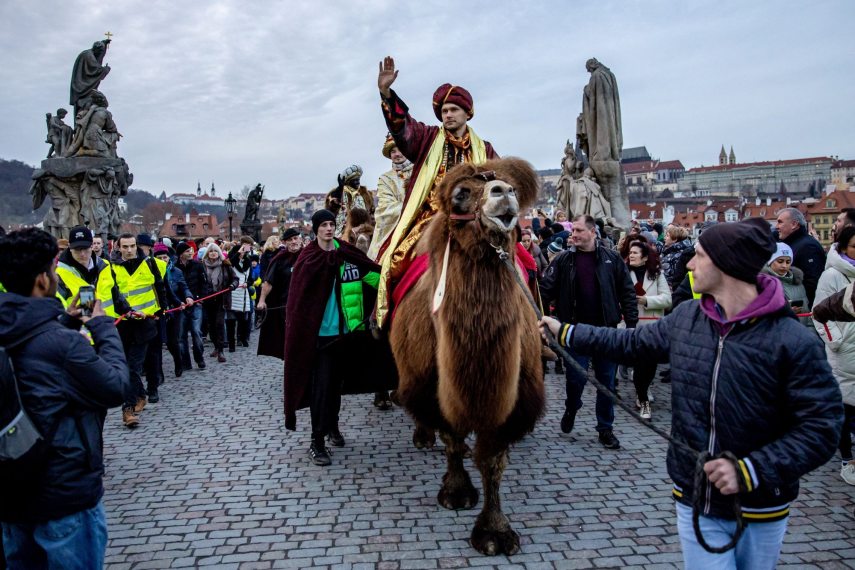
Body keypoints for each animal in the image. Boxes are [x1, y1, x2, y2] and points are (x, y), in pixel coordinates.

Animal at [392, 158, 544, 552]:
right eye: (461, 194)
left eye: (511, 186)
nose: (503, 193)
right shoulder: (432, 388)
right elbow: (454, 441)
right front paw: (457, 492)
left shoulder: (512, 398)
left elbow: (492, 461)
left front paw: (495, 530)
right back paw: (421, 435)